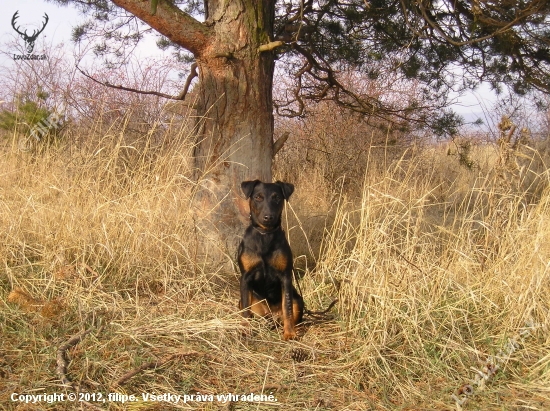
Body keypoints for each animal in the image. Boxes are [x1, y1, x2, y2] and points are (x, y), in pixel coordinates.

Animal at [238, 181, 306, 342]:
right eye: (258, 197)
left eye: (277, 198)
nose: (268, 217)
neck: (265, 234)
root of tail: (272, 315)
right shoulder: (245, 277)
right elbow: (245, 310)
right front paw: (245, 331)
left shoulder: (285, 277)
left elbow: (287, 308)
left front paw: (289, 333)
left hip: (299, 301)